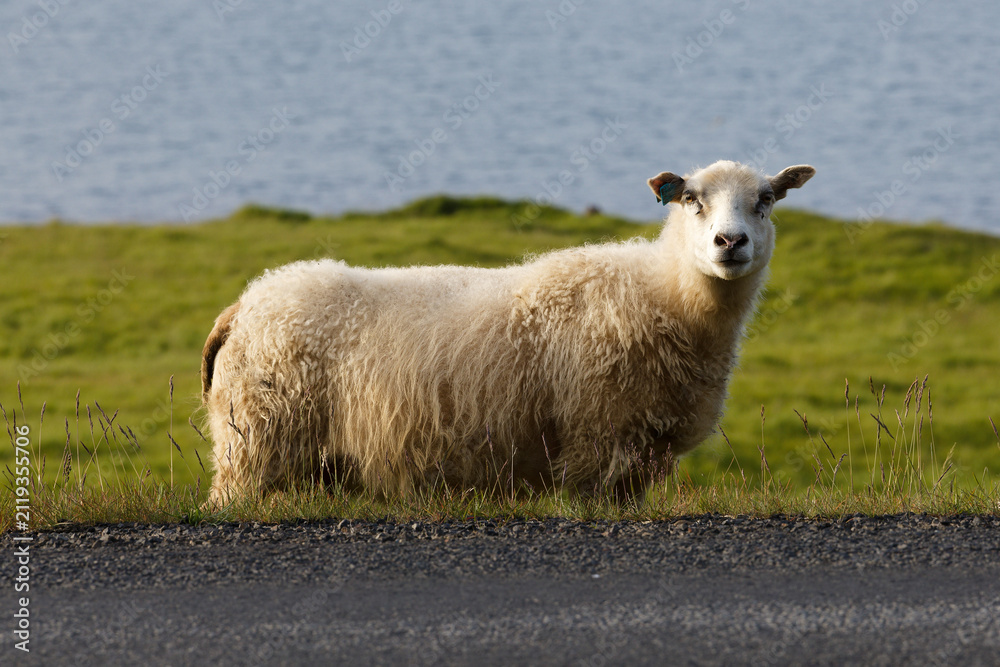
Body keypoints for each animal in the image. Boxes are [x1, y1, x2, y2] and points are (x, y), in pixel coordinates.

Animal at [200, 160, 815, 505]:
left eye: (765, 200)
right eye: (691, 200)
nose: (730, 243)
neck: (664, 295)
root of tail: (244, 304)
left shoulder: (640, 453)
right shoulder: (594, 438)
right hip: (253, 440)